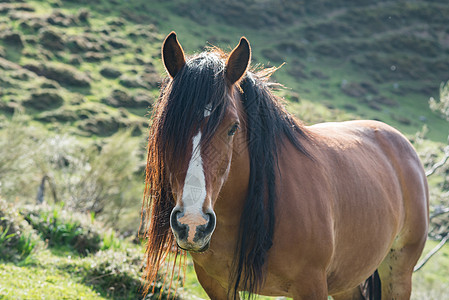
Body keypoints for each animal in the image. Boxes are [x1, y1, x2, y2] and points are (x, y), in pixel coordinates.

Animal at [142, 31, 428, 298]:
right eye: (167, 126)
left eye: (233, 127)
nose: (192, 224)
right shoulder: (216, 285)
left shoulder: (311, 285)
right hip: (348, 279)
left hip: (398, 273)